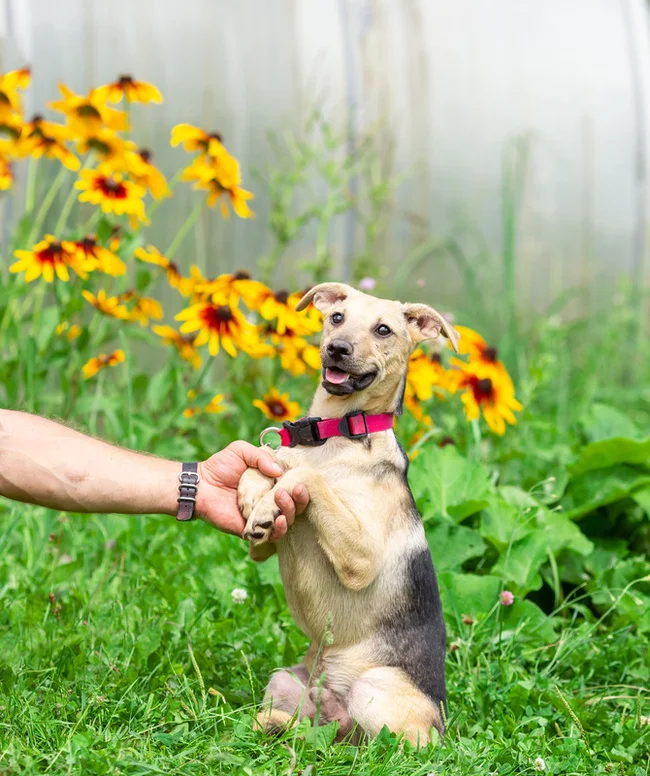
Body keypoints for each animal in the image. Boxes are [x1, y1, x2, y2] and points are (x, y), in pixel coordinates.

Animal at [235, 282, 458, 748]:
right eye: (336, 317)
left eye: (383, 329)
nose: (337, 348)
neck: (334, 434)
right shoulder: (265, 546)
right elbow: (267, 462)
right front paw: (254, 496)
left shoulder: (362, 557)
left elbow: (303, 474)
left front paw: (271, 494)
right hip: (285, 679)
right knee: (316, 732)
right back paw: (274, 725)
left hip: (373, 692)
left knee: (389, 747)